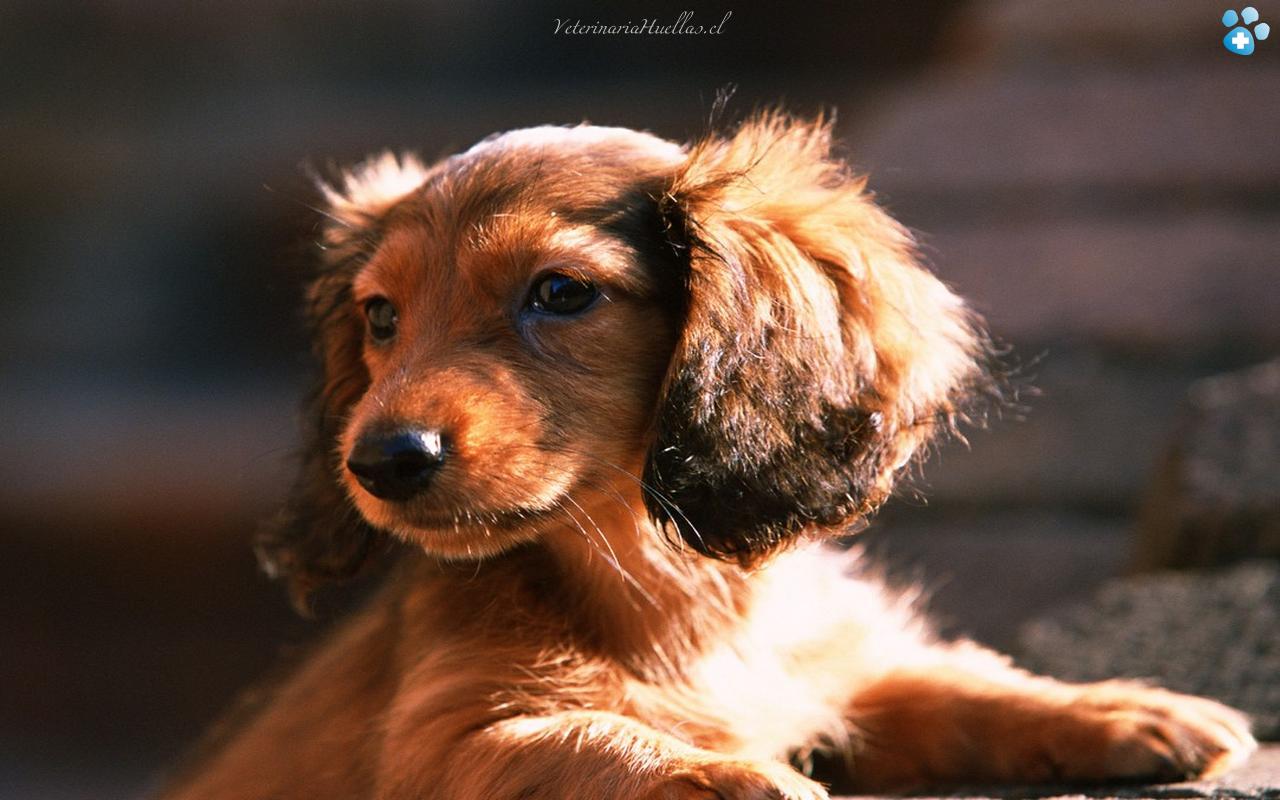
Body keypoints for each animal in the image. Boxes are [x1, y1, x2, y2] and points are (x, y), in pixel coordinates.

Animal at [160, 113, 1256, 799]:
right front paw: (731, 772)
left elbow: (948, 684)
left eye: (560, 293)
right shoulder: (447, 738)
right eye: (381, 317)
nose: (383, 459)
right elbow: (595, 742)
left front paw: (1119, 705)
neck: (671, 591)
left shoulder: (832, 672)